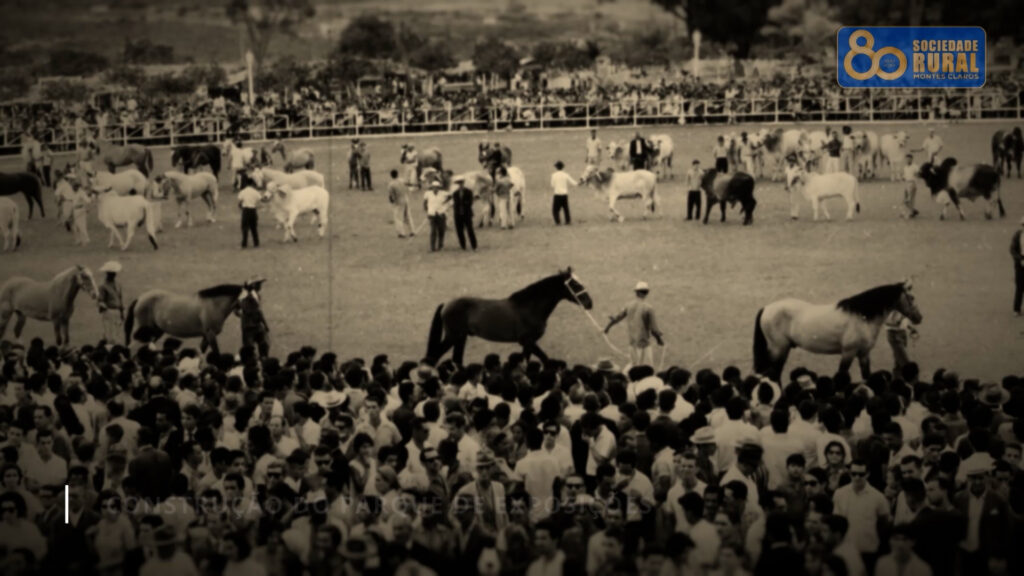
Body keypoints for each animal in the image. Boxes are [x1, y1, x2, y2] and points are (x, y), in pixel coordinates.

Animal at [124, 278, 264, 354]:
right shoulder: (210, 334)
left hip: (157, 332)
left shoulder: (206, 336)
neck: (214, 304)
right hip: (147, 332)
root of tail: (140, 298)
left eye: (259, 297)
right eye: (250, 299)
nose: (259, 321)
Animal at [423, 268, 598, 364]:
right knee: (432, 358)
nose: (589, 303)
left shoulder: (529, 343)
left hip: (461, 338)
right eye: (575, 285)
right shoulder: (527, 341)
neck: (530, 307)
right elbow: (539, 359)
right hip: (453, 337)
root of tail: (446, 305)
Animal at [753, 278, 921, 381]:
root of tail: (767, 308)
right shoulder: (848, 352)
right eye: (912, 297)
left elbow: (866, 376)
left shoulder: (864, 354)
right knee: (773, 375)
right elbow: (842, 374)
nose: (919, 318)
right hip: (779, 349)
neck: (862, 317)